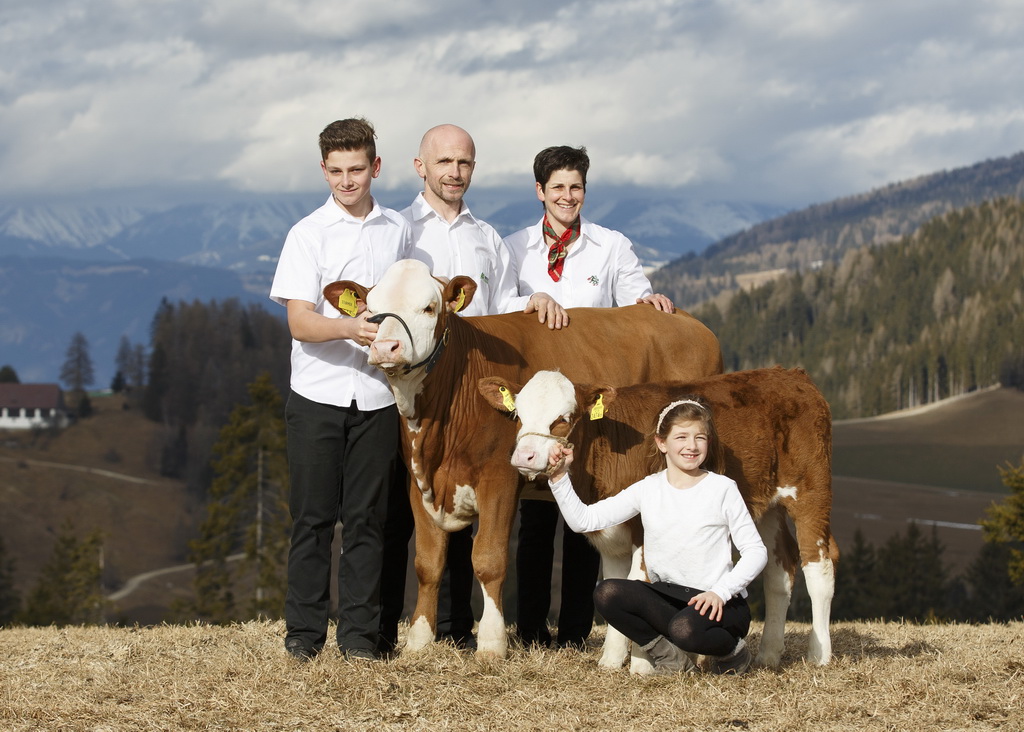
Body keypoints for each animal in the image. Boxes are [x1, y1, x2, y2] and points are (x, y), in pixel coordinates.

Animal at [323, 261, 724, 663]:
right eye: (371, 310)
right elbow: (427, 562)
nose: (385, 347)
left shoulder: (499, 478)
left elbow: (488, 559)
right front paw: (419, 642)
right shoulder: (419, 482)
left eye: (429, 308)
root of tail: (691, 322)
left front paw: (491, 643)